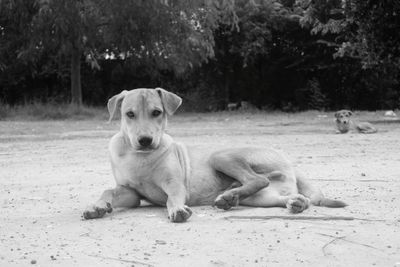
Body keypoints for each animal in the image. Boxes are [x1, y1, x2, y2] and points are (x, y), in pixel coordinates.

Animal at [82, 89, 346, 223]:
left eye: (157, 112)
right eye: (129, 114)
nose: (145, 140)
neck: (139, 157)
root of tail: (289, 163)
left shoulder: (174, 184)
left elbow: (172, 198)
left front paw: (177, 210)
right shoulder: (131, 193)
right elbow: (108, 191)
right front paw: (97, 206)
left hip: (221, 155)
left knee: (258, 179)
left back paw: (229, 197)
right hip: (261, 197)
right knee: (287, 196)